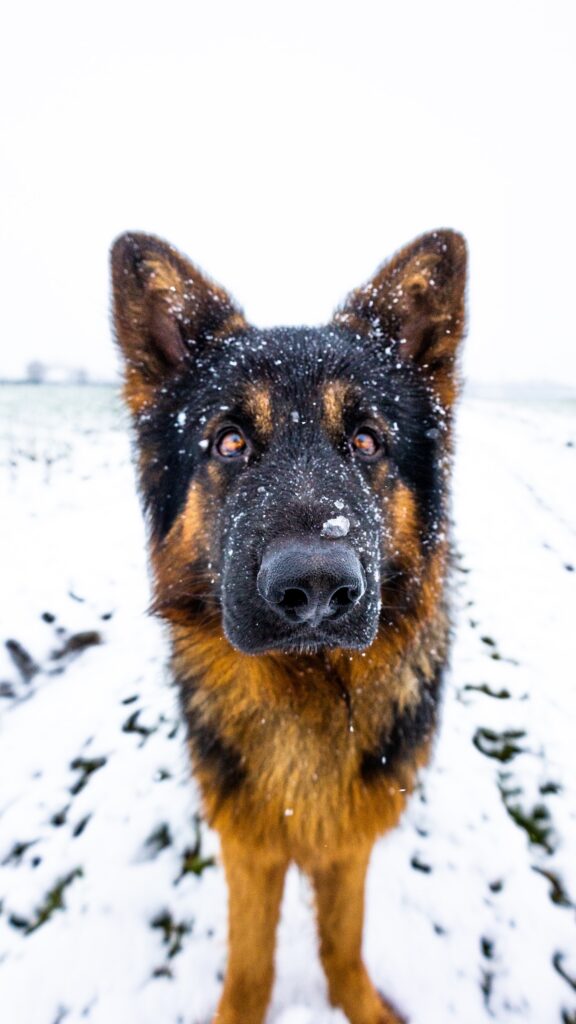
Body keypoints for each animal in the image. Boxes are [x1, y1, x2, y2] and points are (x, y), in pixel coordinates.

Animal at [108, 232, 467, 1024]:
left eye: (366, 440)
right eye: (229, 442)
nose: (316, 589)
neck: (308, 690)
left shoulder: (349, 838)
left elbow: (342, 937)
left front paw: (360, 1005)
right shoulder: (249, 842)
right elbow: (250, 962)